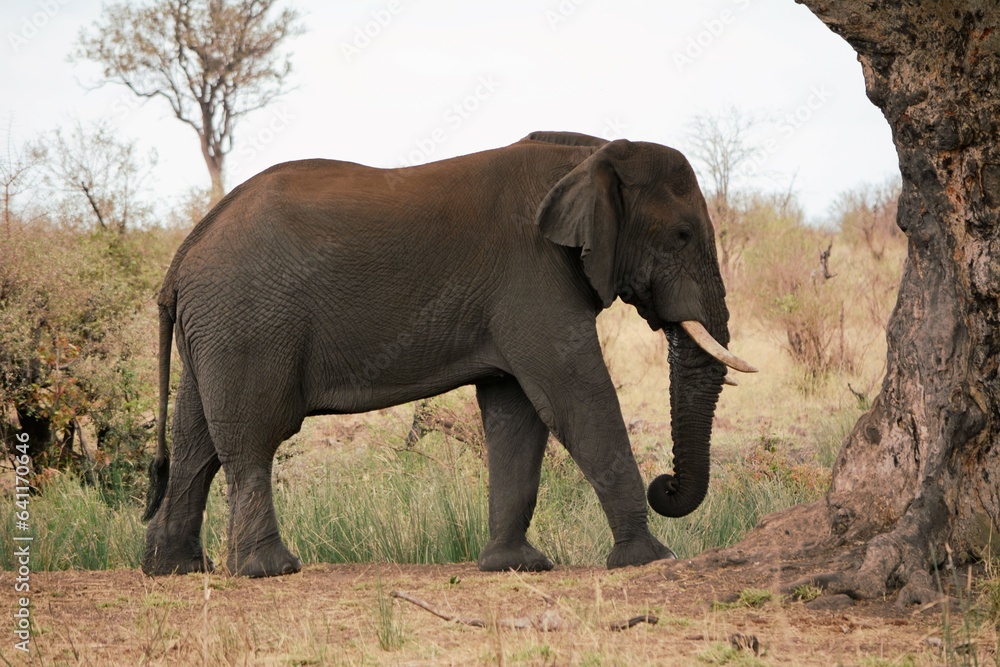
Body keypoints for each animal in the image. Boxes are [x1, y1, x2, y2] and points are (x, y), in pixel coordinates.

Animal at [141, 130, 756, 578]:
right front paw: (649, 559)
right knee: (252, 437)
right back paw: (270, 570)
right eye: (681, 236)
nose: (666, 486)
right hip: (247, 324)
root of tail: (181, 257)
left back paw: (175, 569)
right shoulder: (534, 276)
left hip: (215, 329)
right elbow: (576, 396)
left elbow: (516, 412)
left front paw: (515, 567)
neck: (588, 155)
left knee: (195, 441)